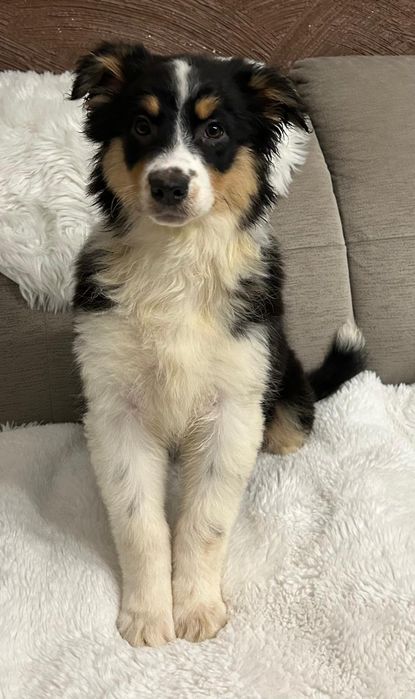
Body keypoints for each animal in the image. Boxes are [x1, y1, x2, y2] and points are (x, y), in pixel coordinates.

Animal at [71, 42, 366, 647]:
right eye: (140, 125)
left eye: (214, 130)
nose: (169, 185)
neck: (176, 259)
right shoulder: (116, 411)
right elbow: (138, 522)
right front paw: (147, 616)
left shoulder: (233, 407)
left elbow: (204, 521)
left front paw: (197, 607)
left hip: (284, 389)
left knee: (287, 431)